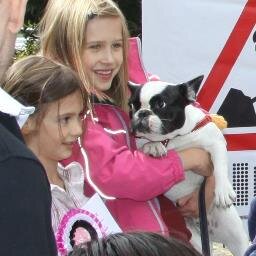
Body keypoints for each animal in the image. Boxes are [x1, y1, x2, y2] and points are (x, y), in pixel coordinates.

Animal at [129, 76, 249, 256]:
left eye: (161, 104)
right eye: (133, 105)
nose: (142, 112)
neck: (173, 139)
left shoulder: (216, 142)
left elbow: (219, 167)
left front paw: (223, 190)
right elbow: (145, 144)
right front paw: (153, 146)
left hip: (235, 236)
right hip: (193, 238)